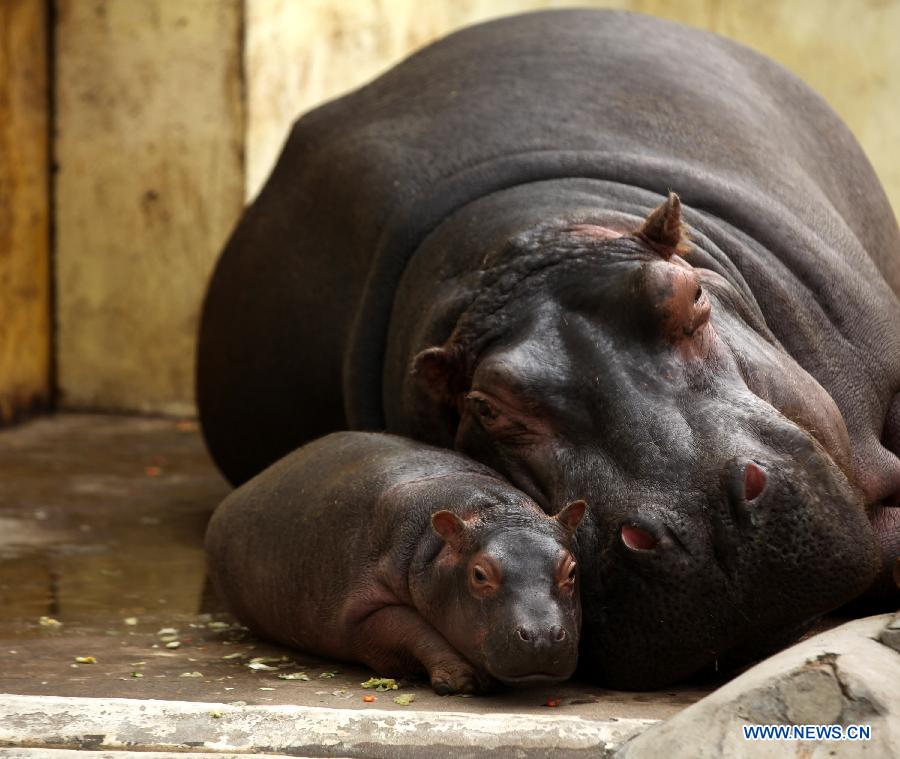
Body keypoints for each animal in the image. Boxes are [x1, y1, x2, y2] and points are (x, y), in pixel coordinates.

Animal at [203, 430, 584, 692]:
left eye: (572, 570)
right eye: (479, 575)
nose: (541, 636)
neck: (492, 510)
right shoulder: (361, 611)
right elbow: (410, 627)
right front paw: (460, 680)